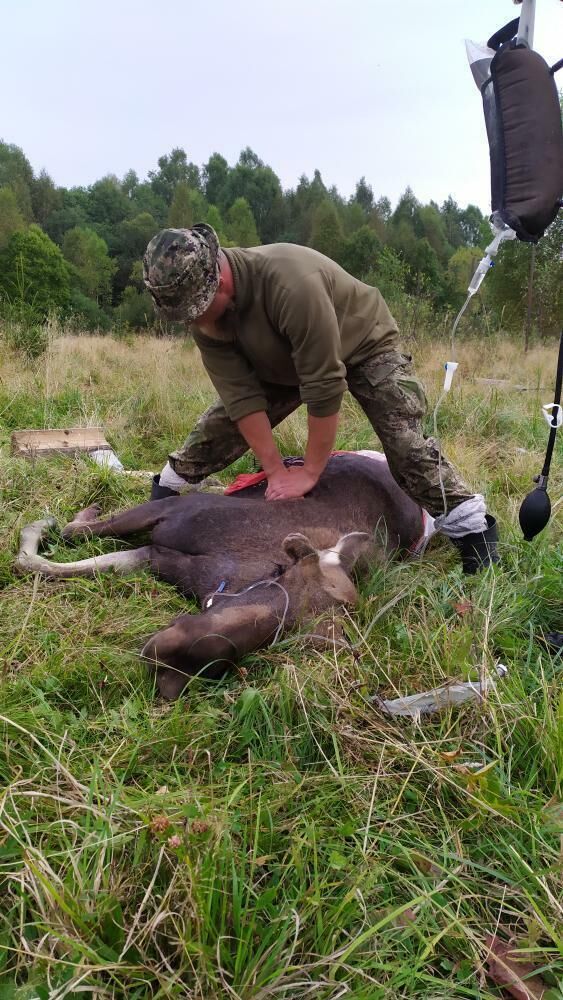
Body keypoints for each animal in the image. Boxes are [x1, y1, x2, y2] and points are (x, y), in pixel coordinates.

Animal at [17, 452, 432, 696]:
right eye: (284, 571)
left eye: (287, 636)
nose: (173, 660)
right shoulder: (171, 514)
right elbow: (70, 534)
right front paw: (54, 520)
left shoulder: (160, 555)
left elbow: (56, 559)